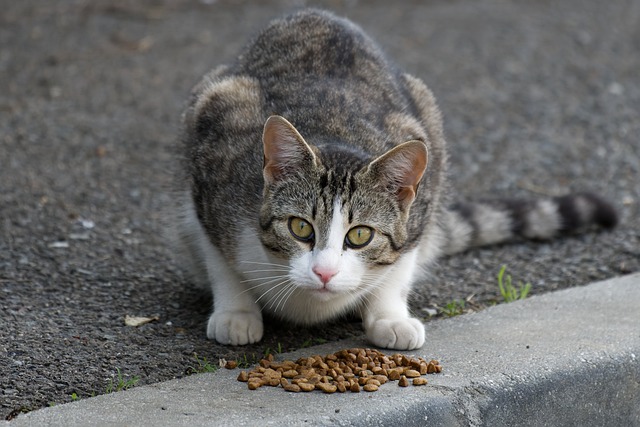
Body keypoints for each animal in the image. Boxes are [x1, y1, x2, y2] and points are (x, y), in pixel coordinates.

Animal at [169, 9, 616, 352]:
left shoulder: (423, 193)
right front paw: (236, 312)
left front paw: (389, 316)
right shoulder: (212, 172)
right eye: (300, 228)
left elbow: (400, 264)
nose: (325, 274)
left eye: (360, 236)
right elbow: (219, 260)